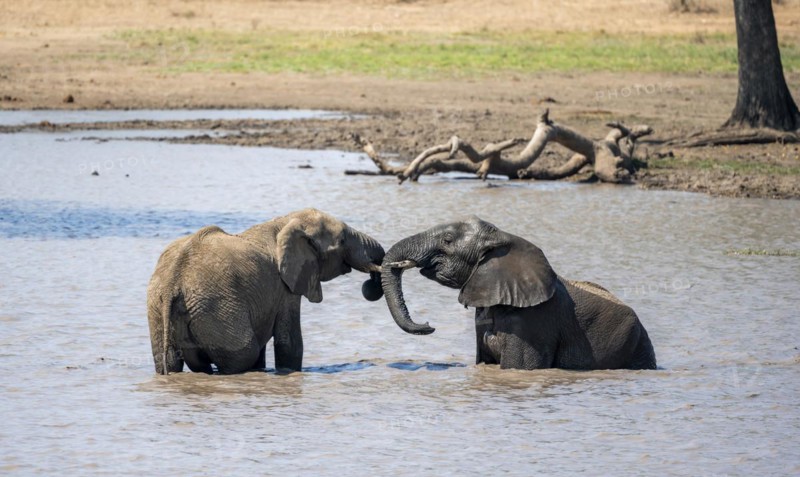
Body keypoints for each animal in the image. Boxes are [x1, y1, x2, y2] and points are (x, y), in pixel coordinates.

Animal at [146, 208, 386, 375]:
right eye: (343, 240)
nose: (372, 282)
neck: (286, 220)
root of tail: (173, 284)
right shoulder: (284, 288)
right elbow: (290, 343)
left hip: (158, 308)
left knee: (168, 361)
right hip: (215, 308)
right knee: (244, 353)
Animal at [380, 216, 656, 370]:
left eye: (448, 239)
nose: (429, 325)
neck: (504, 237)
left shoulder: (534, 323)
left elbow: (518, 366)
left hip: (635, 345)